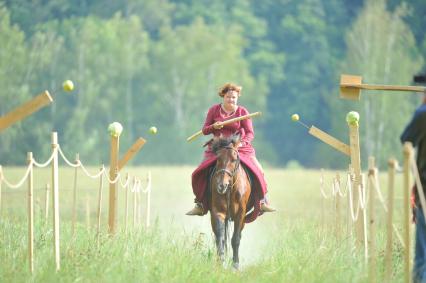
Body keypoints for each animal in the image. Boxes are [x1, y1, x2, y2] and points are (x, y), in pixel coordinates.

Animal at [209, 135, 251, 270]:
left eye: (234, 159)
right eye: (218, 158)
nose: (222, 185)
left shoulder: (240, 214)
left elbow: (235, 239)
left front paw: (235, 265)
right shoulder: (218, 212)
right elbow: (220, 237)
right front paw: (220, 262)